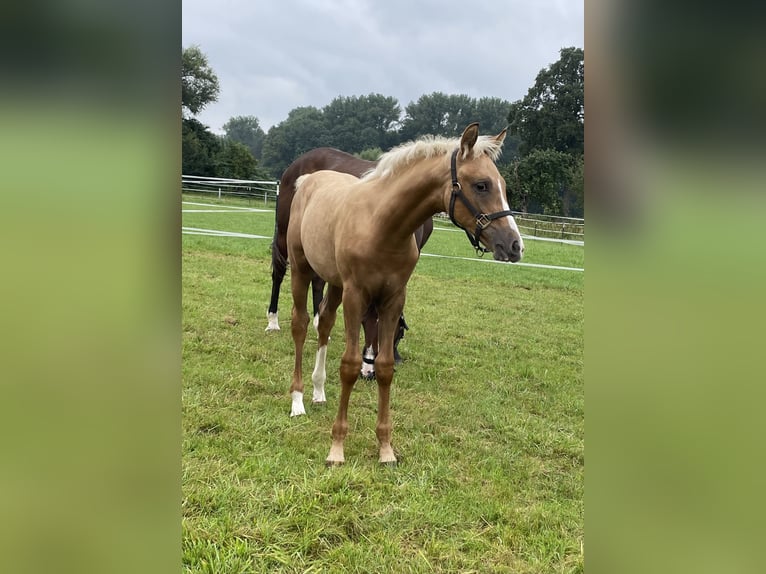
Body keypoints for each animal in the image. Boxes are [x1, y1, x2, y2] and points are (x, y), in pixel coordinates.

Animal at [266, 146, 432, 376]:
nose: (368, 372)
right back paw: (273, 320)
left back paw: (318, 321)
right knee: (279, 272)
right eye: (366, 323)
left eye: (397, 334)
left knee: (318, 281)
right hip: (285, 234)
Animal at [290, 124, 528, 466]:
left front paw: (386, 449)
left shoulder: (393, 299)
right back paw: (297, 401)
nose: (514, 245)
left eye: (503, 186)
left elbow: (385, 367)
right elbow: (350, 365)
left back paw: (319, 391)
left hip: (334, 283)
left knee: (324, 323)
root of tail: (308, 179)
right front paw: (337, 449)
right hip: (301, 269)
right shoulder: (356, 296)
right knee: (299, 324)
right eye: (481, 185)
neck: (381, 226)